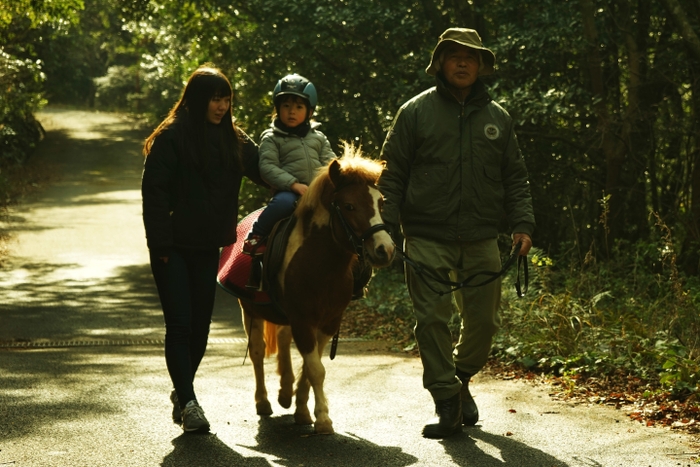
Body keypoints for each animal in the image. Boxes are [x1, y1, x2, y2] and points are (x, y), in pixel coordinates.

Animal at [239, 144, 394, 436]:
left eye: (381, 203)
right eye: (349, 205)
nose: (385, 250)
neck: (320, 265)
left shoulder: (328, 322)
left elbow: (311, 369)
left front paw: (302, 411)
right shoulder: (303, 320)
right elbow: (315, 369)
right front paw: (322, 419)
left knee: (283, 340)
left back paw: (285, 392)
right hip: (249, 310)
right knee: (257, 352)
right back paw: (263, 402)